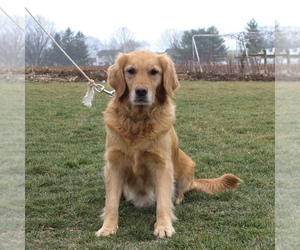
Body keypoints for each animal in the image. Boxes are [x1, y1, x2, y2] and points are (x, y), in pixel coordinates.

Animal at [95, 50, 241, 238]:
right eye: (130, 71)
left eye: (154, 72)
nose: (141, 91)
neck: (138, 122)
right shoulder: (114, 165)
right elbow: (111, 202)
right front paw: (108, 227)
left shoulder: (162, 165)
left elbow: (163, 201)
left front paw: (164, 226)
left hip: (186, 164)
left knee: (180, 190)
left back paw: (177, 198)